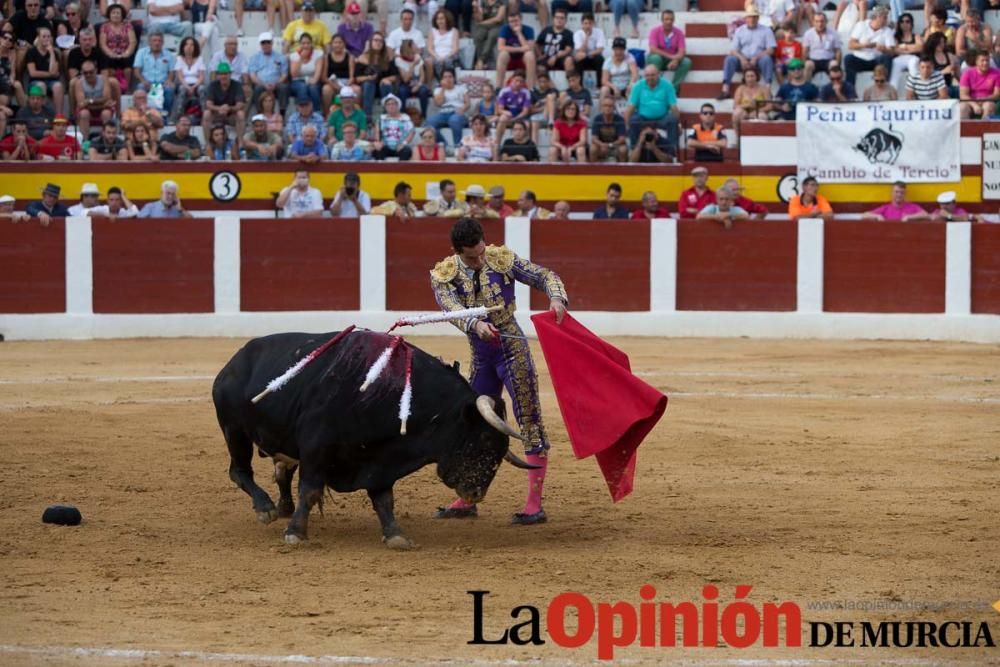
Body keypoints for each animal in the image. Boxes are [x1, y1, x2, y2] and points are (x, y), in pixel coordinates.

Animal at [211, 328, 532, 548]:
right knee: (239, 470)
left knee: (281, 471)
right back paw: (266, 509)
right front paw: (295, 533)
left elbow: (384, 499)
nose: (476, 493)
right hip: (234, 430)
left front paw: (395, 536)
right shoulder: (316, 449)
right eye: (484, 440)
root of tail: (233, 362)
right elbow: (311, 491)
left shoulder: (381, 458)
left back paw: (282, 507)